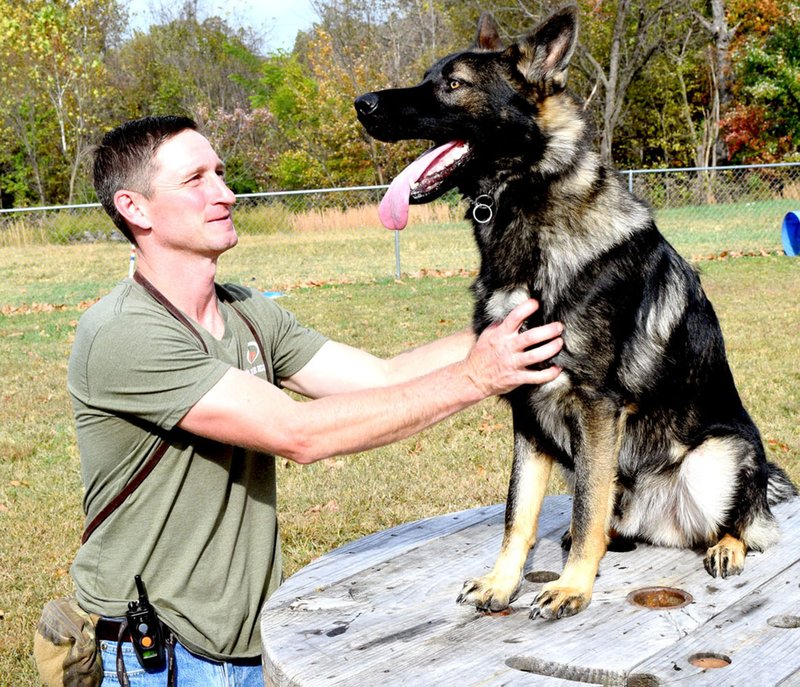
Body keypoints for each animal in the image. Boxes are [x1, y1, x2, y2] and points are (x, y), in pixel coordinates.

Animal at [358, 5, 800, 620]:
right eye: (428, 76)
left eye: (454, 84)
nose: (361, 103)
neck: (528, 205)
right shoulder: (526, 409)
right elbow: (518, 513)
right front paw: (503, 582)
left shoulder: (594, 405)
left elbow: (586, 505)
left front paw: (572, 588)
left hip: (716, 457)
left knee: (745, 521)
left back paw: (726, 546)